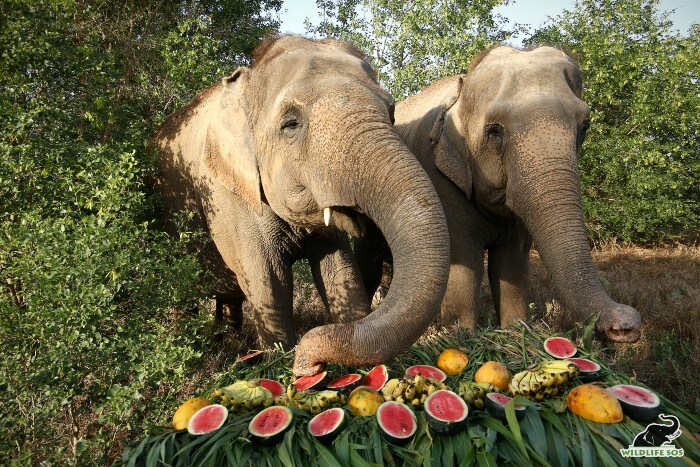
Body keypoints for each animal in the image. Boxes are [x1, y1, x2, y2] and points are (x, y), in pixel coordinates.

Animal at [152, 34, 448, 378]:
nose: (308, 363)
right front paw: (279, 364)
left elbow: (340, 270)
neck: (246, 83)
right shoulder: (227, 199)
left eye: (391, 113)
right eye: (291, 124)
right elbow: (270, 284)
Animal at [364, 44, 644, 344]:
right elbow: (464, 263)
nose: (625, 326)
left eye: (585, 126)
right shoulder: (438, 178)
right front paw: (461, 336)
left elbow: (511, 263)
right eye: (494, 131)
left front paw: (515, 333)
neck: (463, 90)